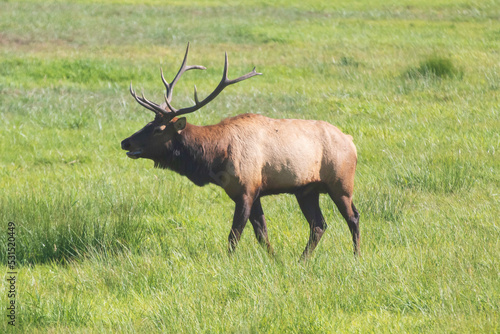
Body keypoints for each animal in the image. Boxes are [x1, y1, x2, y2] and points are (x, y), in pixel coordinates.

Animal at [123, 43, 362, 260]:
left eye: (158, 129)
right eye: (147, 123)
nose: (126, 142)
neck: (215, 159)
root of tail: (351, 141)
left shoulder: (246, 189)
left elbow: (234, 235)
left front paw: (229, 262)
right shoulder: (254, 192)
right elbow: (261, 233)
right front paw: (275, 259)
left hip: (340, 183)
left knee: (353, 217)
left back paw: (357, 256)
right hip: (306, 190)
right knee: (319, 225)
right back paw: (302, 259)